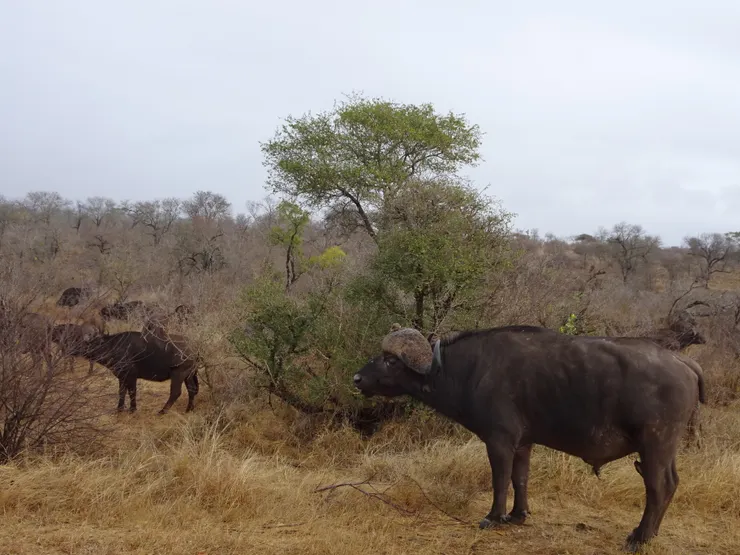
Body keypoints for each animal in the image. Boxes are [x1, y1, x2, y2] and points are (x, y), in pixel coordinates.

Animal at [353, 324, 706, 552]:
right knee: (671, 484)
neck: (468, 369)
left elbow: (500, 481)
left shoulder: (499, 442)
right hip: (665, 450)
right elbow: (520, 478)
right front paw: (517, 515)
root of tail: (682, 360)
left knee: (658, 487)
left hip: (655, 444)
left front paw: (494, 517)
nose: (357, 378)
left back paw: (639, 537)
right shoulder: (523, 444)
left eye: (391, 360)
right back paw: (650, 532)